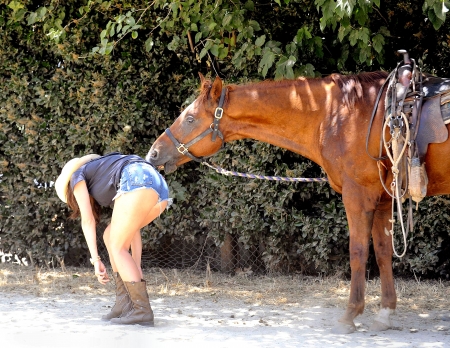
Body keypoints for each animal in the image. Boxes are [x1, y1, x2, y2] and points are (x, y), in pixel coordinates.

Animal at [146, 71, 450, 334]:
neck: (339, 114)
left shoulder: (358, 195)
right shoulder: (385, 198)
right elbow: (384, 253)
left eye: (190, 119)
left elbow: (358, 253)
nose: (154, 153)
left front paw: (350, 314)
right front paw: (386, 313)